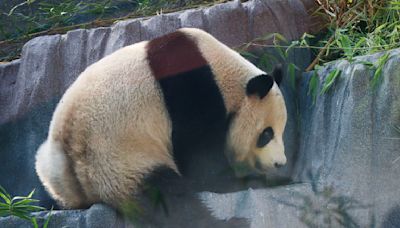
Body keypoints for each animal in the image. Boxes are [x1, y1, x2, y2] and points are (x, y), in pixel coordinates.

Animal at [33, 27, 284, 209]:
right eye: (266, 134)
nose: (280, 164)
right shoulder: (193, 92)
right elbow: (200, 160)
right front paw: (245, 180)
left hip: (57, 166)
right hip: (119, 159)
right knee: (167, 196)